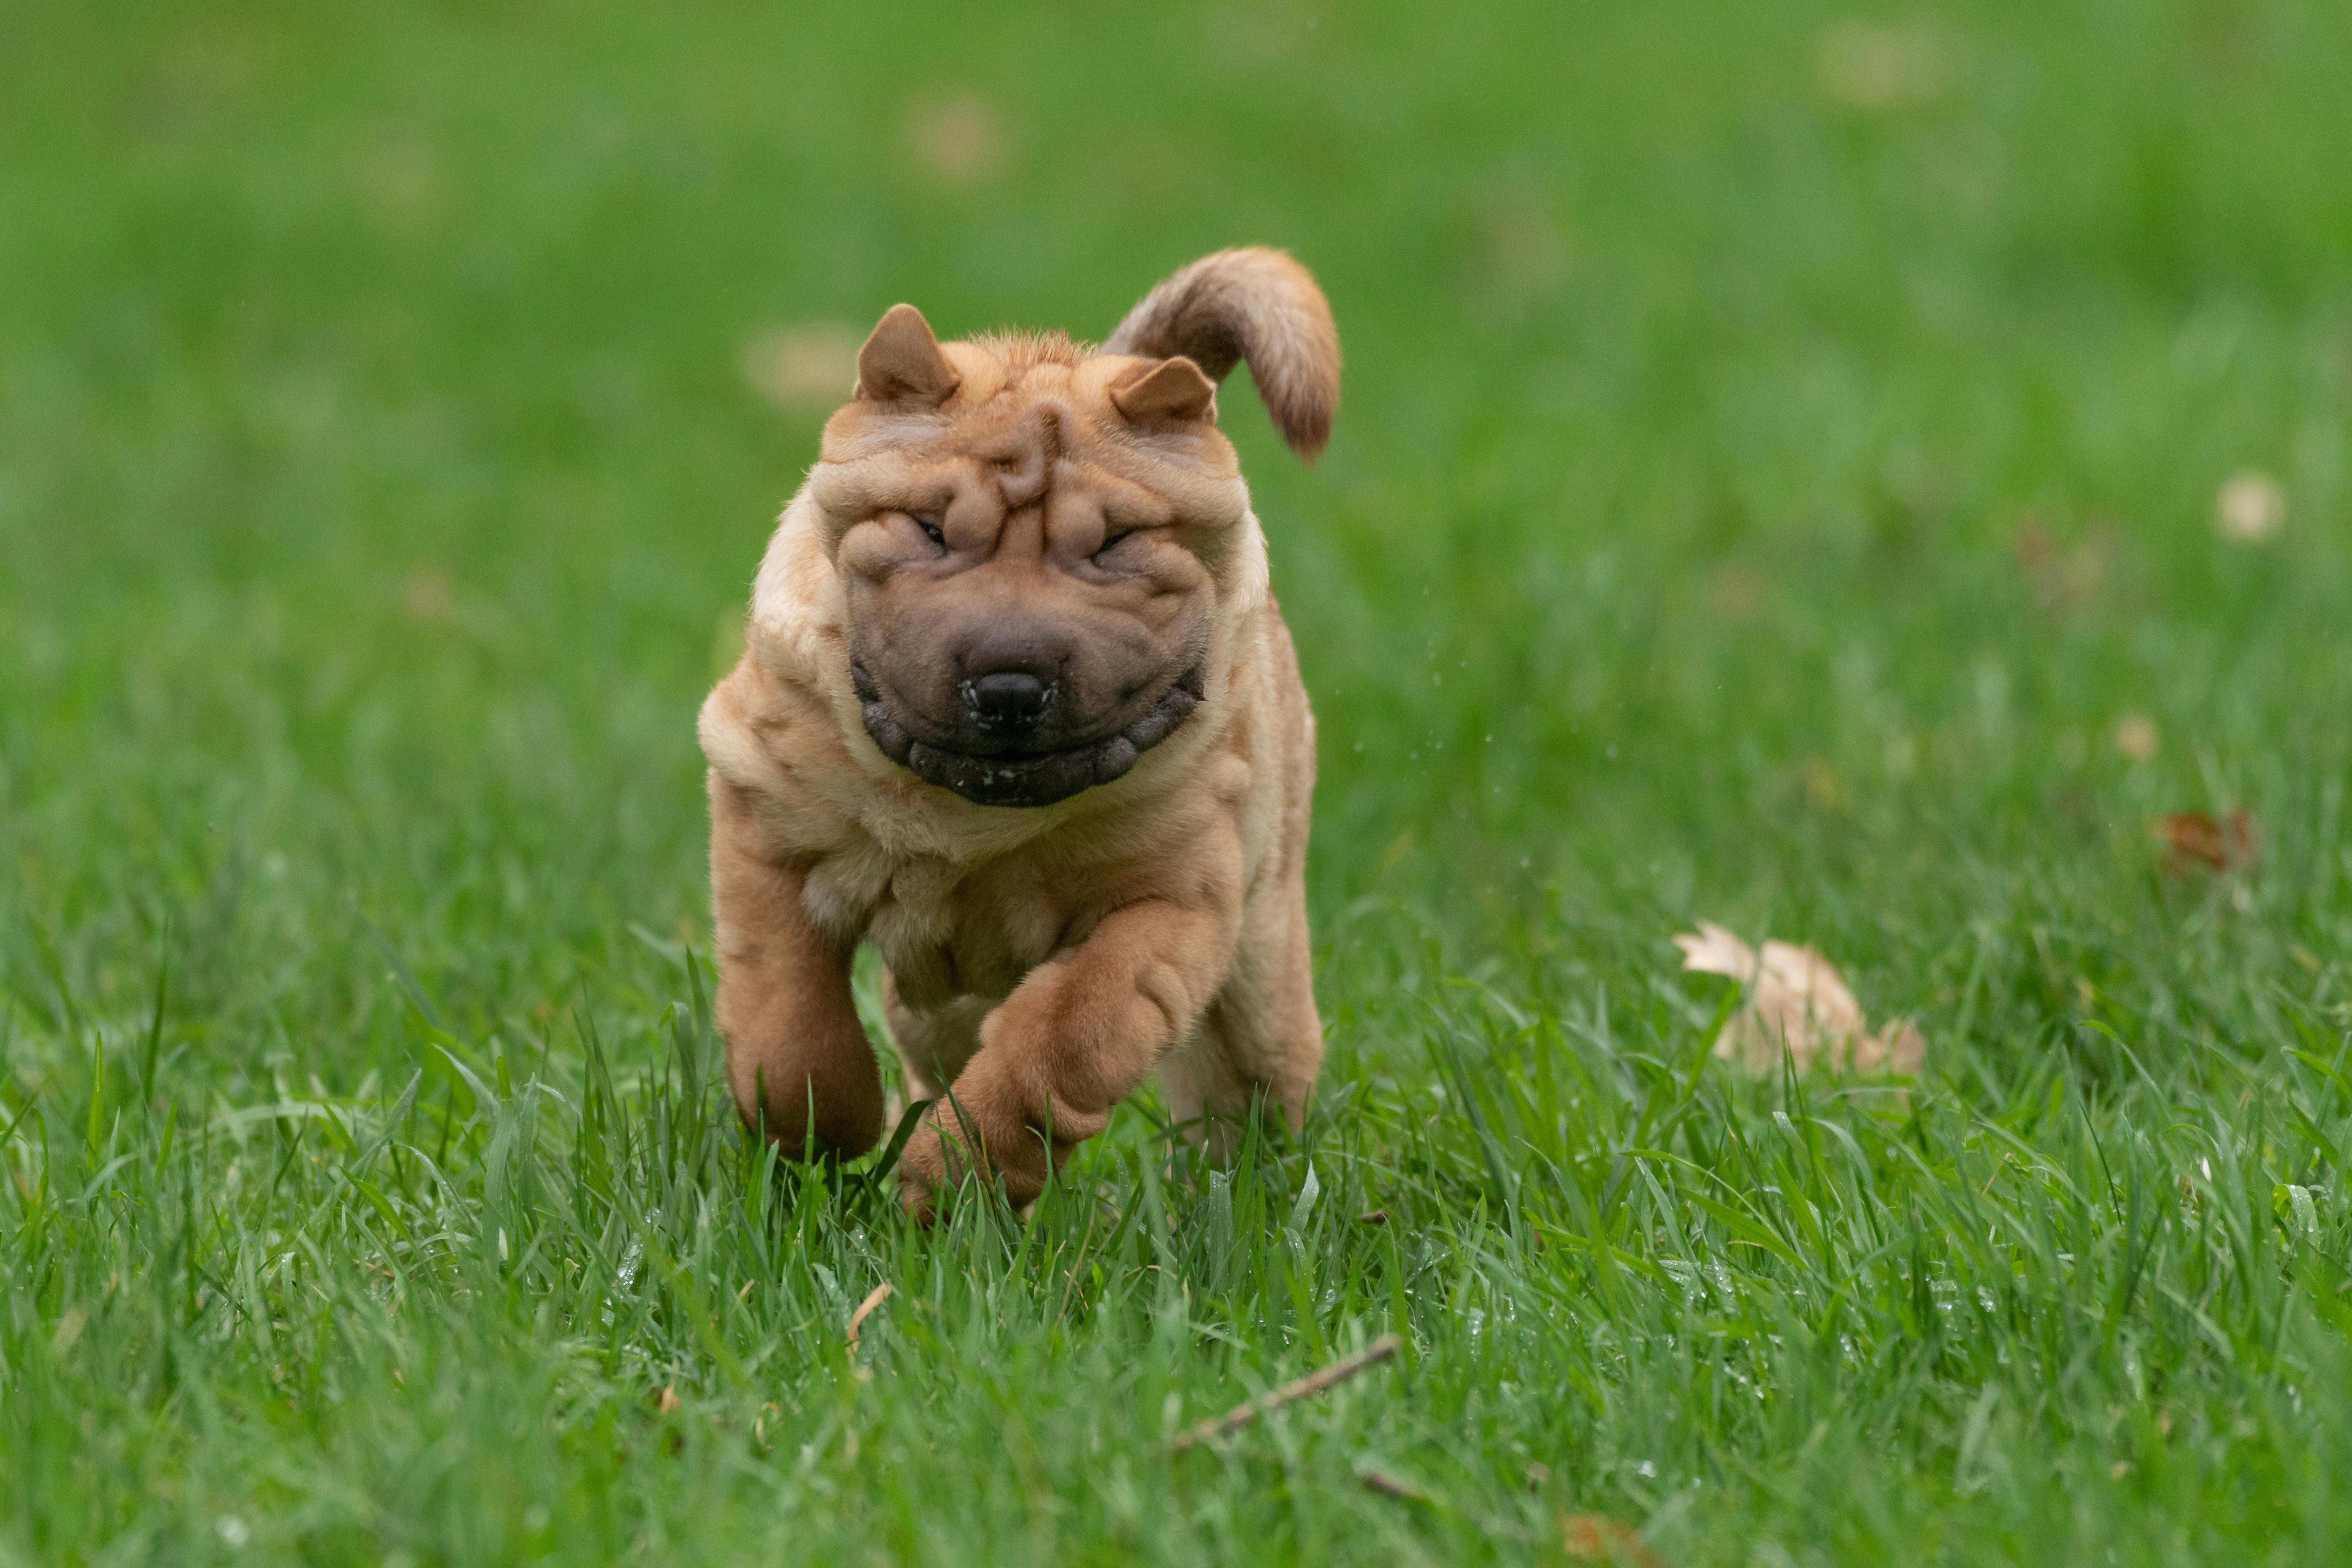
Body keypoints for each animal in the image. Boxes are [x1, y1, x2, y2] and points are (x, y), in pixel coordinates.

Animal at [696, 248, 1345, 1213]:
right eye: (930, 531)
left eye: (1115, 545)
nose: (1008, 684)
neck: (971, 818)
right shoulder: (764, 813)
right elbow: (788, 1018)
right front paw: (827, 1130)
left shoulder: (1169, 899)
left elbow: (1060, 1042)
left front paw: (949, 1178)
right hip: (936, 1000)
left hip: (1261, 970)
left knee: (1248, 1088)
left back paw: (1244, 1202)